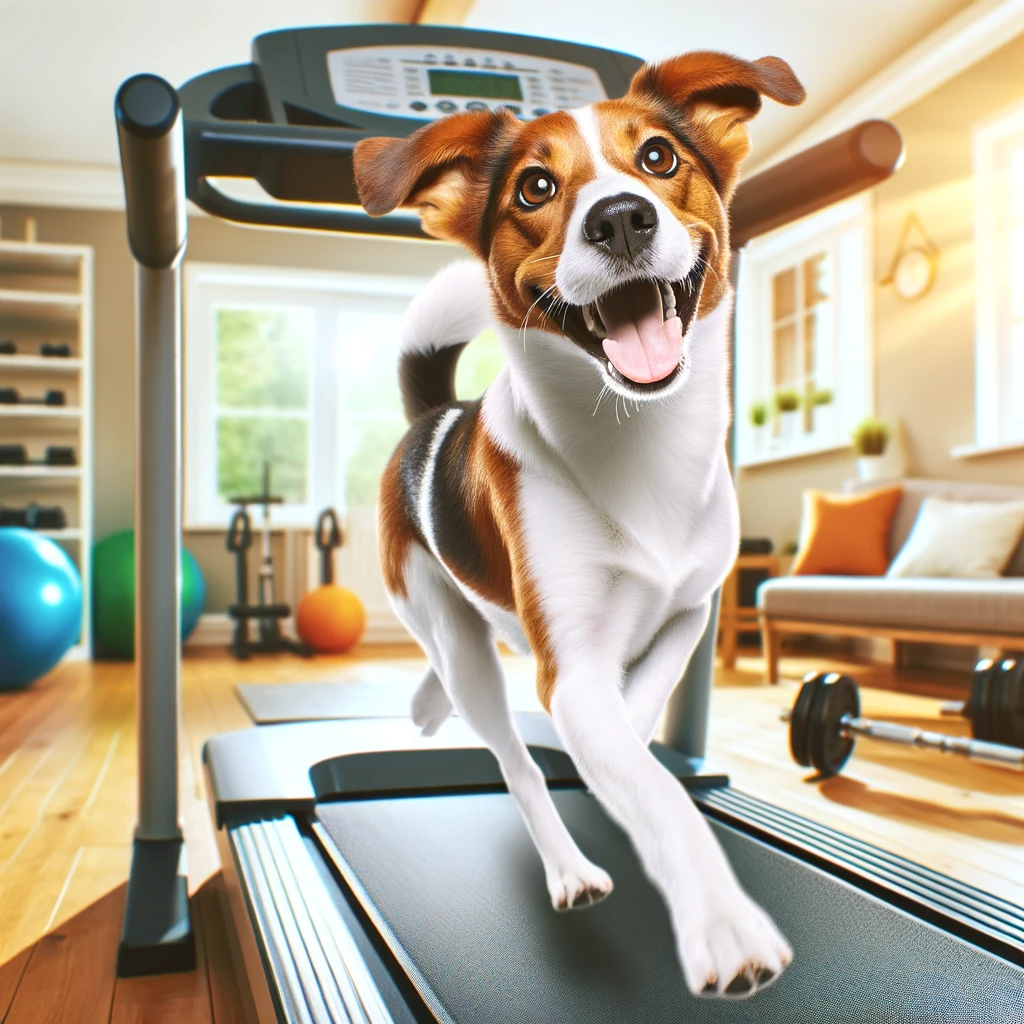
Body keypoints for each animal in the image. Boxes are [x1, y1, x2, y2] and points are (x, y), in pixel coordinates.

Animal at [356, 49, 802, 999]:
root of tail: (432, 418)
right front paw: (721, 921)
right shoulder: (572, 663)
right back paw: (566, 867)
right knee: (506, 751)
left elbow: (639, 715)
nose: (621, 219)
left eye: (660, 158)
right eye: (535, 186)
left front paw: (620, 753)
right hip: (447, 628)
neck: (640, 444)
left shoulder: (689, 611)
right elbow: (655, 791)